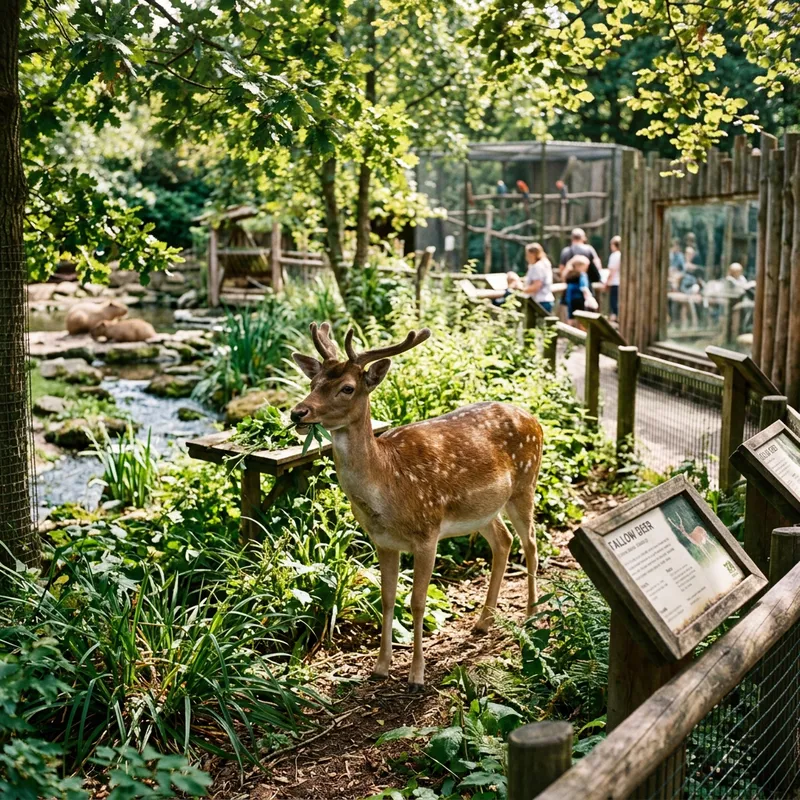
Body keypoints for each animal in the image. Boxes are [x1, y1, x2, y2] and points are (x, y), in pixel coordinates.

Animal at [290, 323, 543, 691]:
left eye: (347, 388)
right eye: (314, 383)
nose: (298, 412)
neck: (388, 487)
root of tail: (534, 418)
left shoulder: (427, 533)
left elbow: (417, 602)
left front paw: (416, 675)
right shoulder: (382, 542)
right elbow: (386, 599)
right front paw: (380, 668)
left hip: (525, 484)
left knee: (531, 542)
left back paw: (532, 615)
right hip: (483, 509)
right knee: (503, 541)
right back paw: (483, 621)